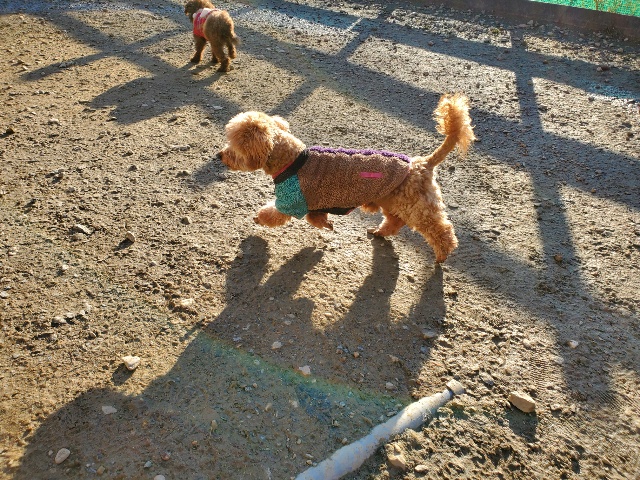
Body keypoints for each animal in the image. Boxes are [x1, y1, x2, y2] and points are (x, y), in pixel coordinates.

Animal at [217, 94, 475, 262]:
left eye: (234, 147)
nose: (219, 155)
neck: (292, 160)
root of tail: (423, 163)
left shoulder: (292, 201)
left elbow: (272, 214)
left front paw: (258, 218)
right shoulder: (314, 204)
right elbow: (315, 219)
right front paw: (327, 225)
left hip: (418, 207)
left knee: (441, 230)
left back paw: (442, 255)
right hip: (391, 200)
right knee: (395, 222)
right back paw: (379, 232)